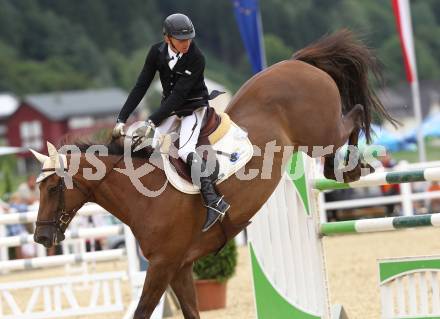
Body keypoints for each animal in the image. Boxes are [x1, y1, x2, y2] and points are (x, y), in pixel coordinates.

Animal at [31, 28, 396, 318]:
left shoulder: (163, 265)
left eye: (53, 188)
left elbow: (142, 312)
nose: (41, 239)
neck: (143, 196)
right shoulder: (180, 267)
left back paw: (352, 167)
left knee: (355, 114)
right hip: (313, 138)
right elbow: (191, 312)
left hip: (321, 131)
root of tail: (298, 63)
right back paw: (342, 169)